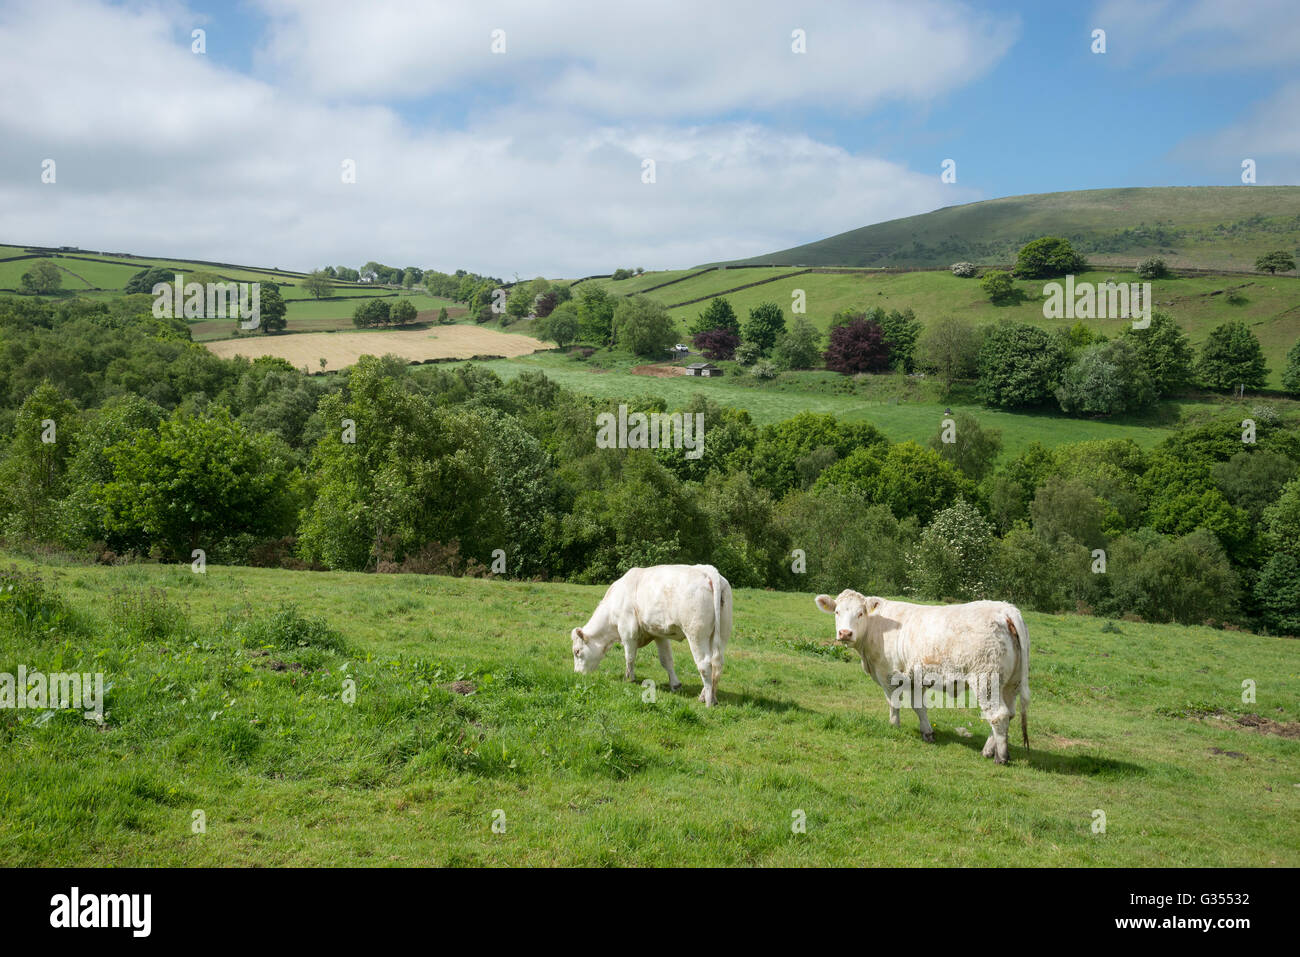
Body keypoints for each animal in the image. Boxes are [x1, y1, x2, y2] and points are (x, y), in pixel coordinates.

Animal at [569, 564, 733, 707]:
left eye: (577, 651)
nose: (576, 673)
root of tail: (707, 570)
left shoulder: (627, 632)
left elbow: (629, 657)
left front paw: (629, 678)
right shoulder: (660, 634)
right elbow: (666, 660)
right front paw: (675, 684)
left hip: (696, 634)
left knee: (705, 664)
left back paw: (708, 702)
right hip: (722, 634)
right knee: (717, 663)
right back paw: (708, 696)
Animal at [816, 590, 1029, 764]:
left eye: (860, 613)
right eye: (837, 612)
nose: (845, 633)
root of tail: (1005, 609)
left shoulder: (887, 674)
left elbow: (894, 702)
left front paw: (894, 726)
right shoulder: (916, 678)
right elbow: (919, 707)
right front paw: (927, 733)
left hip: (986, 680)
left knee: (998, 715)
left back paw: (1001, 757)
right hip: (1010, 683)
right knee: (1009, 713)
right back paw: (988, 750)